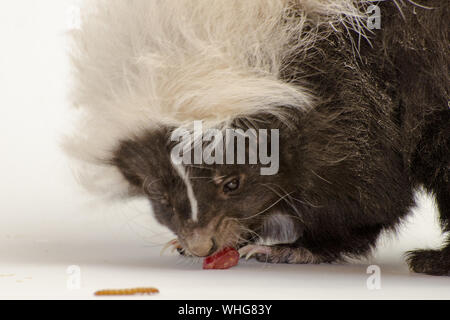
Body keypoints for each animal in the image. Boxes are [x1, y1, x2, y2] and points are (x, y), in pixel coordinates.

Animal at [65, 0, 448, 276]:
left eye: (233, 183)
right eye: (159, 192)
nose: (201, 245)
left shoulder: (349, 94)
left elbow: (369, 195)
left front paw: (291, 249)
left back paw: (434, 261)